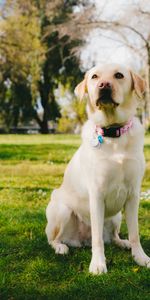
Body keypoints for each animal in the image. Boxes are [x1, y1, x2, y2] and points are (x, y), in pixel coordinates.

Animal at [45, 63, 150, 274]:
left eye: (119, 75)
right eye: (94, 77)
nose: (104, 85)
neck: (113, 133)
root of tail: (81, 240)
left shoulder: (133, 194)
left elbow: (135, 233)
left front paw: (140, 257)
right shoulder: (97, 193)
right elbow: (98, 239)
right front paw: (98, 264)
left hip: (116, 216)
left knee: (113, 236)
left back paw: (122, 243)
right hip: (61, 210)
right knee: (55, 239)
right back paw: (61, 247)